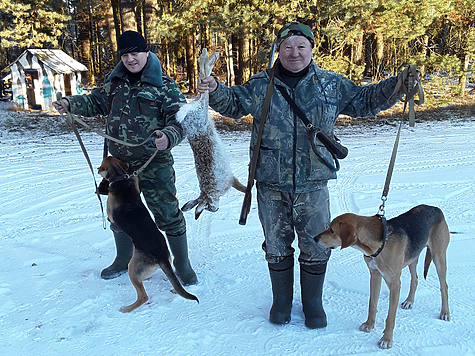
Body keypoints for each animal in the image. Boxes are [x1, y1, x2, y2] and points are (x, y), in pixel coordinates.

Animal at [98, 157, 199, 312]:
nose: (98, 190)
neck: (120, 179)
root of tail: (161, 256)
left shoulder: (111, 214)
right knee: (175, 282)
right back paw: (176, 289)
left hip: (133, 268)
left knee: (143, 297)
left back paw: (127, 308)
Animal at [316, 204, 450, 350]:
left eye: (332, 230)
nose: (315, 238)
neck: (380, 245)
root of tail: (435, 208)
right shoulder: (375, 275)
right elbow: (372, 304)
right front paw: (369, 325)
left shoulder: (394, 284)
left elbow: (390, 317)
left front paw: (386, 339)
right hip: (413, 257)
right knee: (415, 279)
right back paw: (409, 301)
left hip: (438, 256)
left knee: (444, 286)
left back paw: (445, 313)